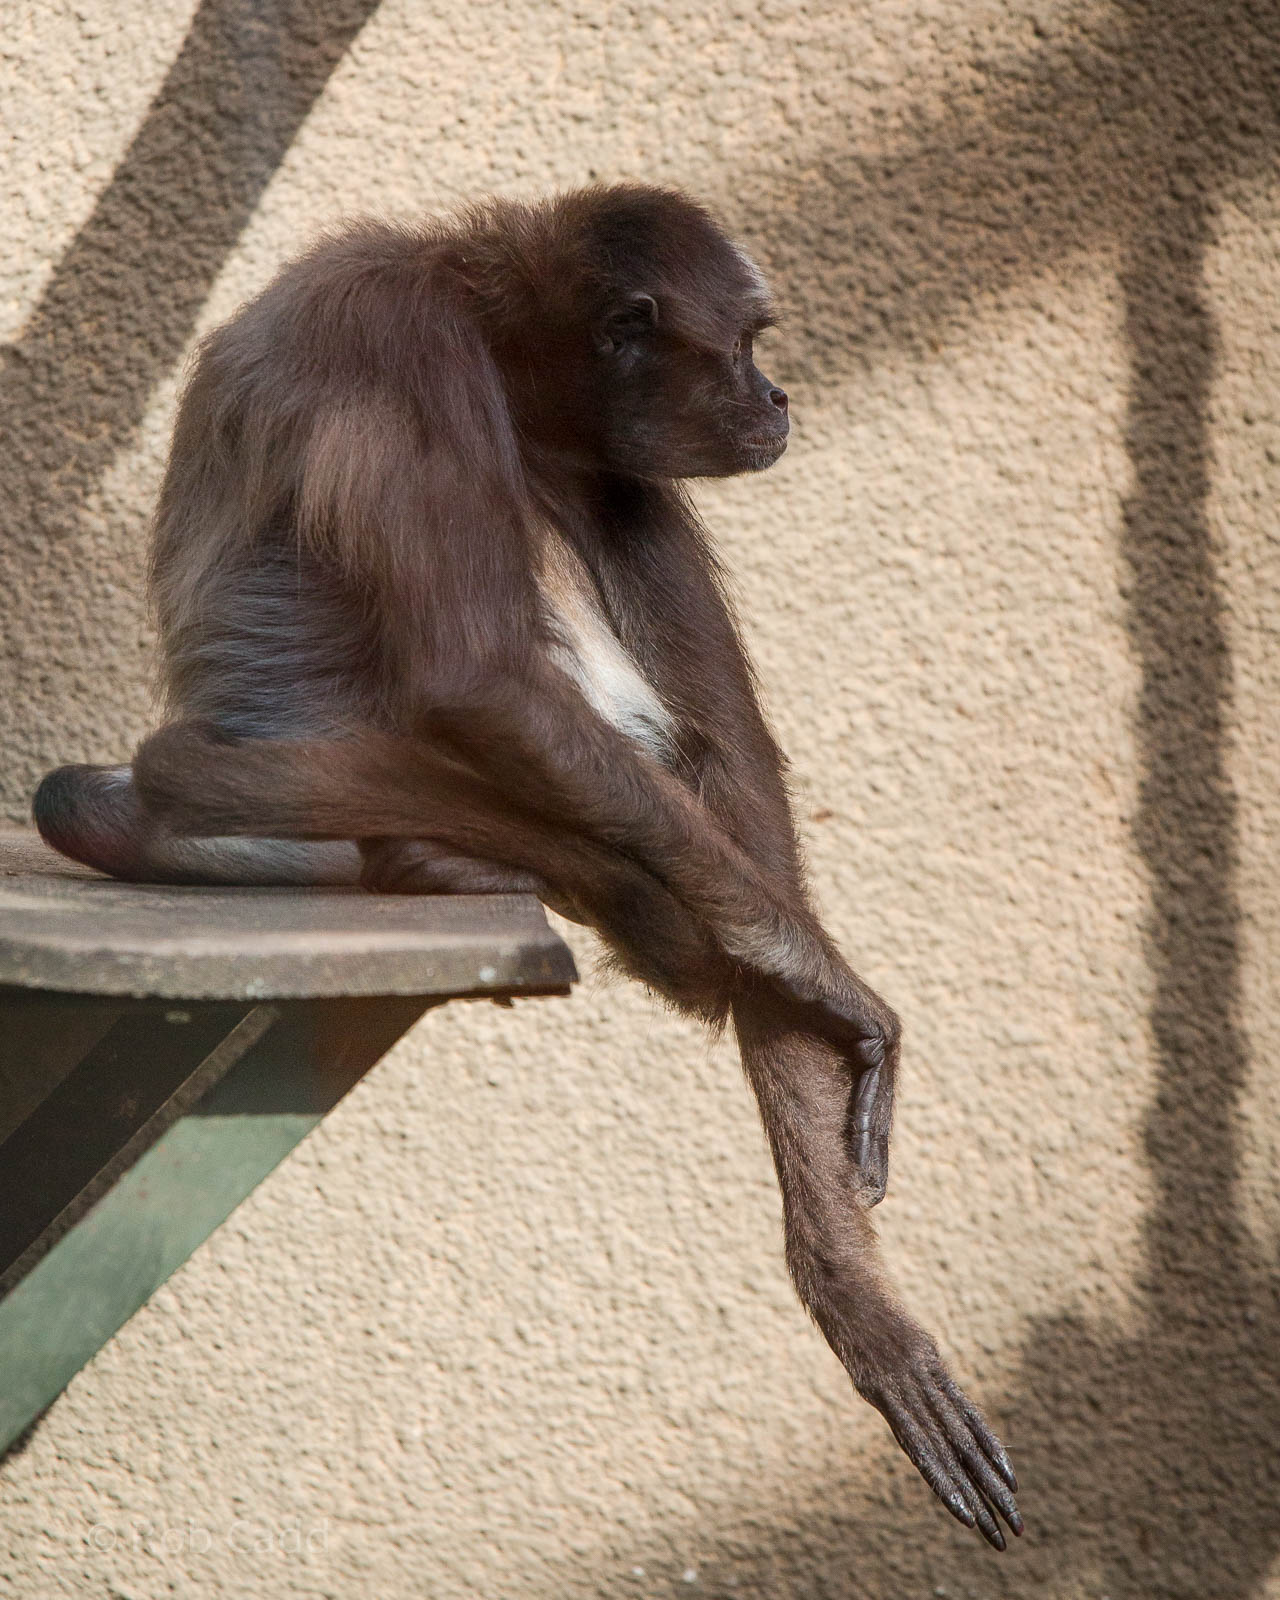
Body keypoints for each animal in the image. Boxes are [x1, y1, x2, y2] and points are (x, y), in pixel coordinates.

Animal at [34, 184, 1022, 1546]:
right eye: (748, 344)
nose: (777, 398)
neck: (490, 332)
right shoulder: (407, 348)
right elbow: (479, 680)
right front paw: (831, 985)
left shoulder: (615, 470)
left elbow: (739, 781)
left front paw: (851, 1295)